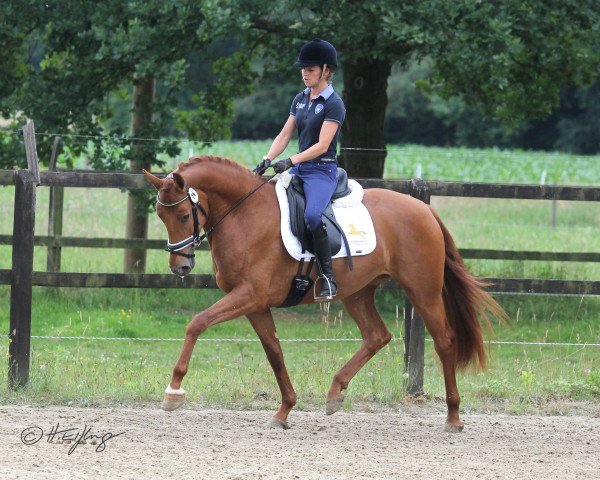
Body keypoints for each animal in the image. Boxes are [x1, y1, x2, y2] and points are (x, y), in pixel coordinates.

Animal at [145, 157, 506, 432]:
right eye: (161, 216)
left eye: (182, 216)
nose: (180, 266)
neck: (244, 214)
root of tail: (424, 209)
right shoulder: (255, 304)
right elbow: (274, 352)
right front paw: (284, 411)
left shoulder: (249, 295)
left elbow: (197, 323)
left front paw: (173, 390)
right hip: (357, 292)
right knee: (377, 335)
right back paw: (335, 392)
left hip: (423, 290)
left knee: (444, 341)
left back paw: (453, 417)